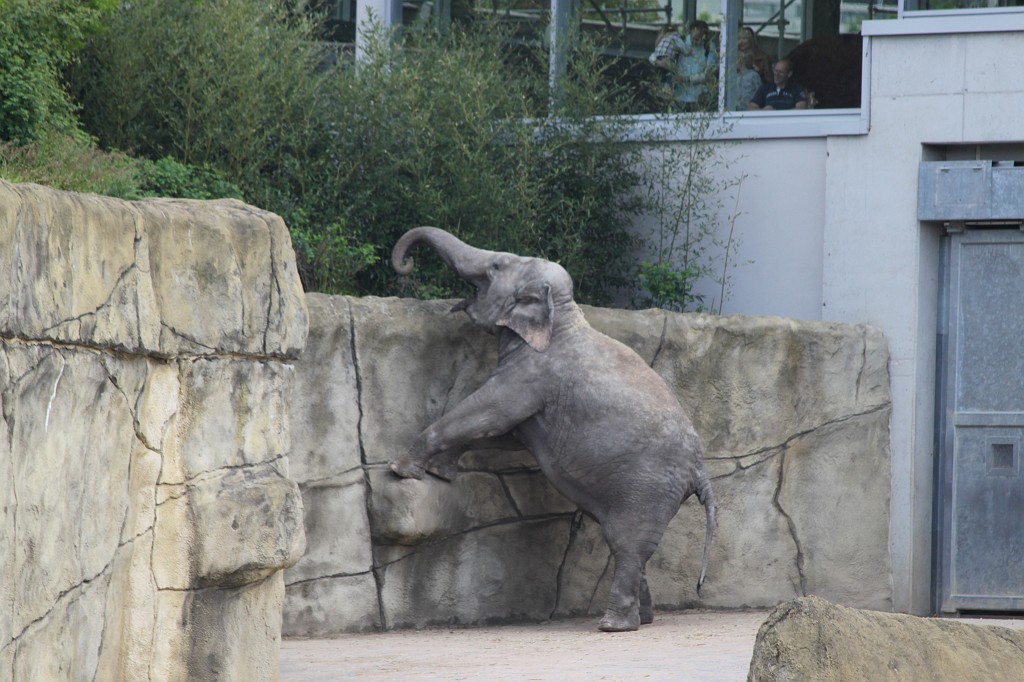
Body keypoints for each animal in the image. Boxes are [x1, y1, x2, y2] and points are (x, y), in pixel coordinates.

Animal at [388, 226, 715, 633]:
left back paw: (613, 626)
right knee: (628, 546)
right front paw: (442, 472)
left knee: (627, 544)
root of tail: (700, 471)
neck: (563, 313)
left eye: (497, 266)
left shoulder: (533, 373)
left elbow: (489, 413)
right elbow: (506, 434)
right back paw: (644, 619)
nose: (405, 265)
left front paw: (401, 468)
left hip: (648, 487)